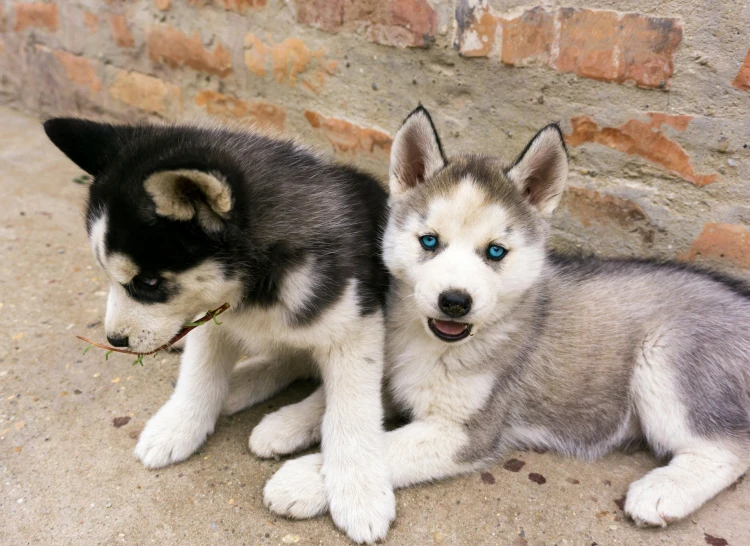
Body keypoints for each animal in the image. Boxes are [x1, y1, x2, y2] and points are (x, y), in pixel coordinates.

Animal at [258, 105, 750, 528]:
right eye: (429, 241)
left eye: (495, 251)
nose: (455, 301)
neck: (426, 341)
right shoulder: (384, 367)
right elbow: (340, 400)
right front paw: (286, 422)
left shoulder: (466, 432)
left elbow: (380, 444)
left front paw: (303, 479)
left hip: (665, 361)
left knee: (729, 450)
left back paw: (662, 491)